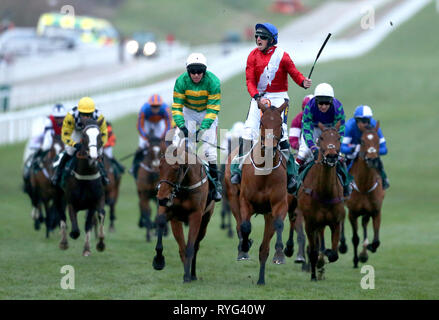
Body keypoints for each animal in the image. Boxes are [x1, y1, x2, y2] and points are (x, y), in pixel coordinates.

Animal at [58, 119, 107, 256]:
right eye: (84, 136)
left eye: (100, 136)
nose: (93, 157)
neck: (85, 175)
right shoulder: (71, 202)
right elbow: (75, 230)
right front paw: (72, 235)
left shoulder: (95, 201)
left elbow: (96, 218)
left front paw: (94, 246)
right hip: (59, 196)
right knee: (61, 215)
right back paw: (63, 242)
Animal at [154, 138, 216, 282]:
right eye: (160, 167)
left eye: (176, 169)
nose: (162, 198)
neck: (183, 189)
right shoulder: (173, 215)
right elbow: (180, 246)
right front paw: (158, 261)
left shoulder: (196, 215)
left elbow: (189, 247)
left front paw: (187, 275)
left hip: (205, 220)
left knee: (196, 245)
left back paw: (192, 274)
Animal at [239, 99, 290, 284]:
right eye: (262, 122)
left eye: (280, 123)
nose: (269, 148)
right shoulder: (244, 201)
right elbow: (245, 226)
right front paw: (245, 246)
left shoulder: (279, 204)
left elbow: (280, 224)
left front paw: (280, 253)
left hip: (268, 215)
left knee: (264, 248)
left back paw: (261, 279)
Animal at [300, 121, 348, 282]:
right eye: (321, 138)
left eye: (338, 138)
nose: (332, 156)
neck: (325, 193)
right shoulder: (309, 223)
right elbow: (313, 251)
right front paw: (314, 275)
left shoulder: (336, 222)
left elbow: (334, 254)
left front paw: (325, 256)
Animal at [344, 122, 384, 268]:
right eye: (362, 141)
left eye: (377, 140)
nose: (372, 159)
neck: (364, 186)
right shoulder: (353, 213)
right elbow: (355, 238)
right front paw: (356, 260)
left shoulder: (376, 211)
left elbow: (376, 241)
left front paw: (366, 251)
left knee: (365, 223)